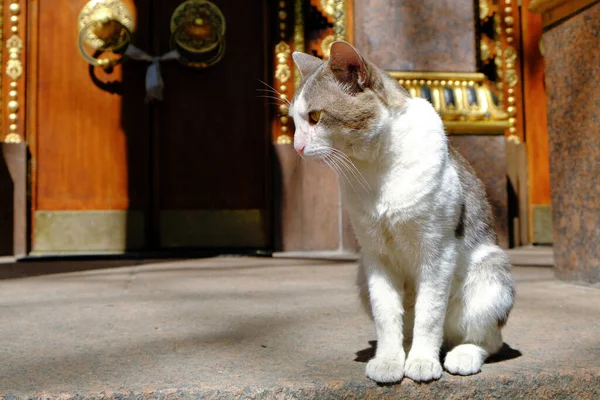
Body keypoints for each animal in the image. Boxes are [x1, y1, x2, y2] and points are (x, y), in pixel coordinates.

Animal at [288, 41, 512, 384]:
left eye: (314, 116)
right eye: (295, 122)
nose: (296, 147)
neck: (375, 168)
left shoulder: (437, 250)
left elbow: (429, 314)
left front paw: (421, 361)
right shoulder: (375, 255)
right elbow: (386, 315)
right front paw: (389, 361)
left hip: (491, 275)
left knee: (486, 339)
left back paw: (462, 354)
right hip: (361, 277)